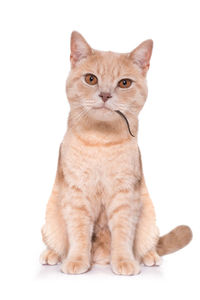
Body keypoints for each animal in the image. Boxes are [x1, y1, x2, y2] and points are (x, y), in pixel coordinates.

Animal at [39, 31, 192, 276]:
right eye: (91, 79)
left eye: (124, 83)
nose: (105, 95)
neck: (101, 140)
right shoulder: (76, 194)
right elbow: (79, 233)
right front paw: (77, 261)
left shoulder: (125, 195)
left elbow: (122, 233)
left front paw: (124, 262)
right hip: (50, 222)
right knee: (56, 243)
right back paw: (52, 255)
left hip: (149, 219)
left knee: (149, 244)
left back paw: (149, 257)